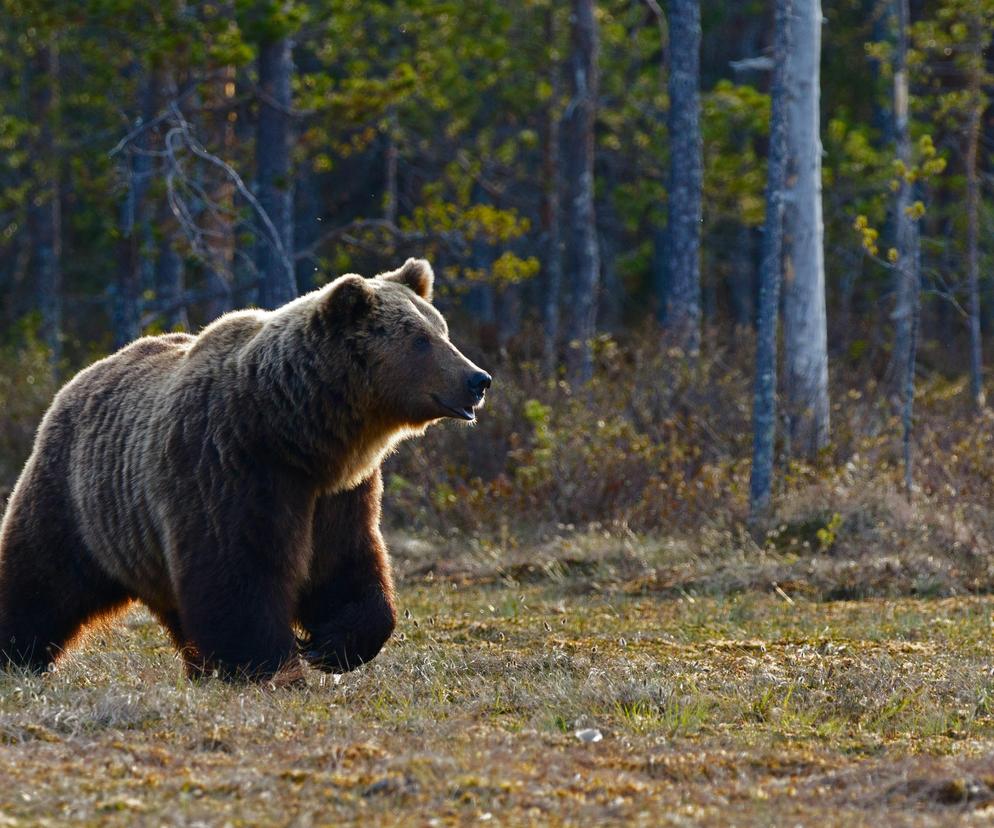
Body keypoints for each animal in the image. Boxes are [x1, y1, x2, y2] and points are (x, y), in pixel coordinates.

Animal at [0, 258, 484, 680]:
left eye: (441, 329)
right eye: (420, 339)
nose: (478, 379)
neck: (296, 433)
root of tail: (79, 378)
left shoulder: (339, 493)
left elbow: (347, 564)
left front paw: (332, 645)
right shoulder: (229, 465)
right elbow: (238, 572)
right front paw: (271, 664)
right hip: (77, 499)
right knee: (40, 578)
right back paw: (18, 655)